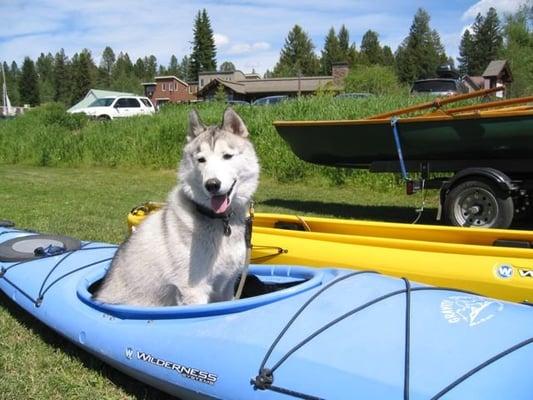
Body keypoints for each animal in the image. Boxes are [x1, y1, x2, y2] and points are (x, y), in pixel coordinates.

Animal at [94, 108, 260, 304]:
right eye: (201, 160)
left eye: (227, 156)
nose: (212, 184)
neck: (221, 221)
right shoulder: (194, 290)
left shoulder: (227, 285)